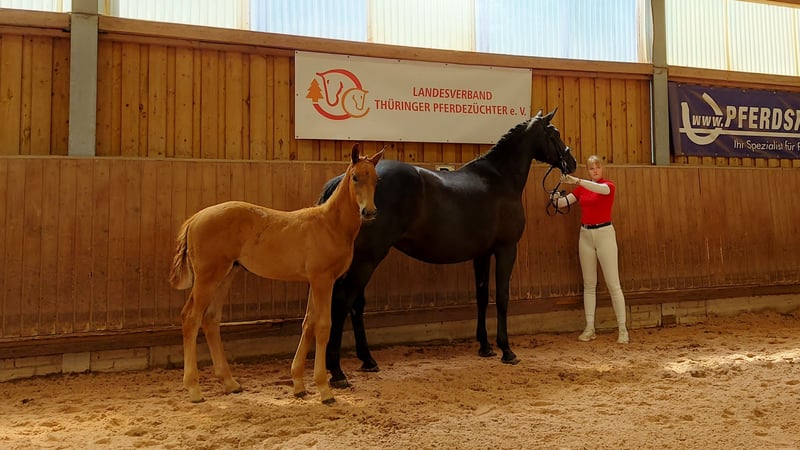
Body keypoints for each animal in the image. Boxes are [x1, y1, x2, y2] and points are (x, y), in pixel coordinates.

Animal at [169, 144, 384, 404]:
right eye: (355, 177)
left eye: (376, 179)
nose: (369, 211)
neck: (330, 225)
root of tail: (195, 218)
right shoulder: (323, 280)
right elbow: (323, 326)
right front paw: (324, 390)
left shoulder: (315, 281)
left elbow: (308, 323)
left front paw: (299, 385)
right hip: (207, 277)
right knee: (191, 318)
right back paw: (194, 389)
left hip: (226, 274)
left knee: (210, 319)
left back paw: (230, 383)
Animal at [318, 109, 577, 388]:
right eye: (554, 134)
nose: (571, 162)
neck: (499, 180)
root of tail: (343, 182)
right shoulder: (506, 249)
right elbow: (503, 297)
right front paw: (507, 351)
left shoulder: (482, 254)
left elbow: (482, 296)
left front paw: (485, 347)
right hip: (368, 257)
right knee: (343, 300)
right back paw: (337, 373)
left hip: (363, 258)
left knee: (355, 304)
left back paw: (368, 361)